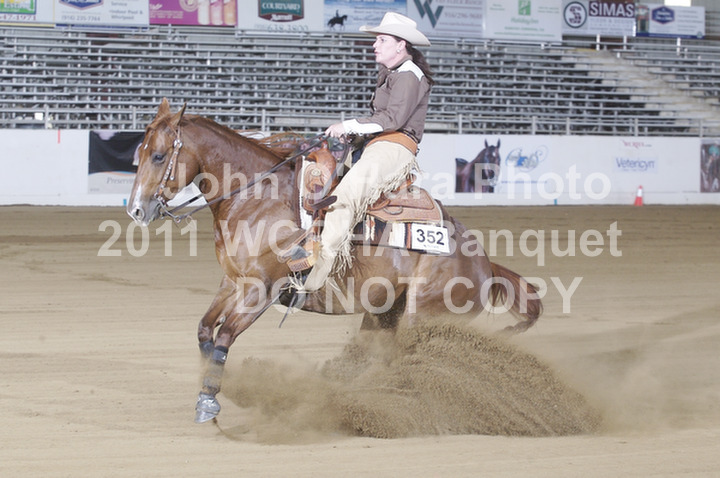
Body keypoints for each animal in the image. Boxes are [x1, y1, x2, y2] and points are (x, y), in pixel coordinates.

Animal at [127, 100, 542, 423]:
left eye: (159, 156)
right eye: (138, 154)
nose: (135, 210)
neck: (257, 198)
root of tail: (485, 264)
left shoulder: (262, 289)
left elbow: (225, 336)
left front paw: (208, 403)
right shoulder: (232, 282)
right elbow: (204, 330)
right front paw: (210, 391)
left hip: (424, 317)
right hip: (382, 313)